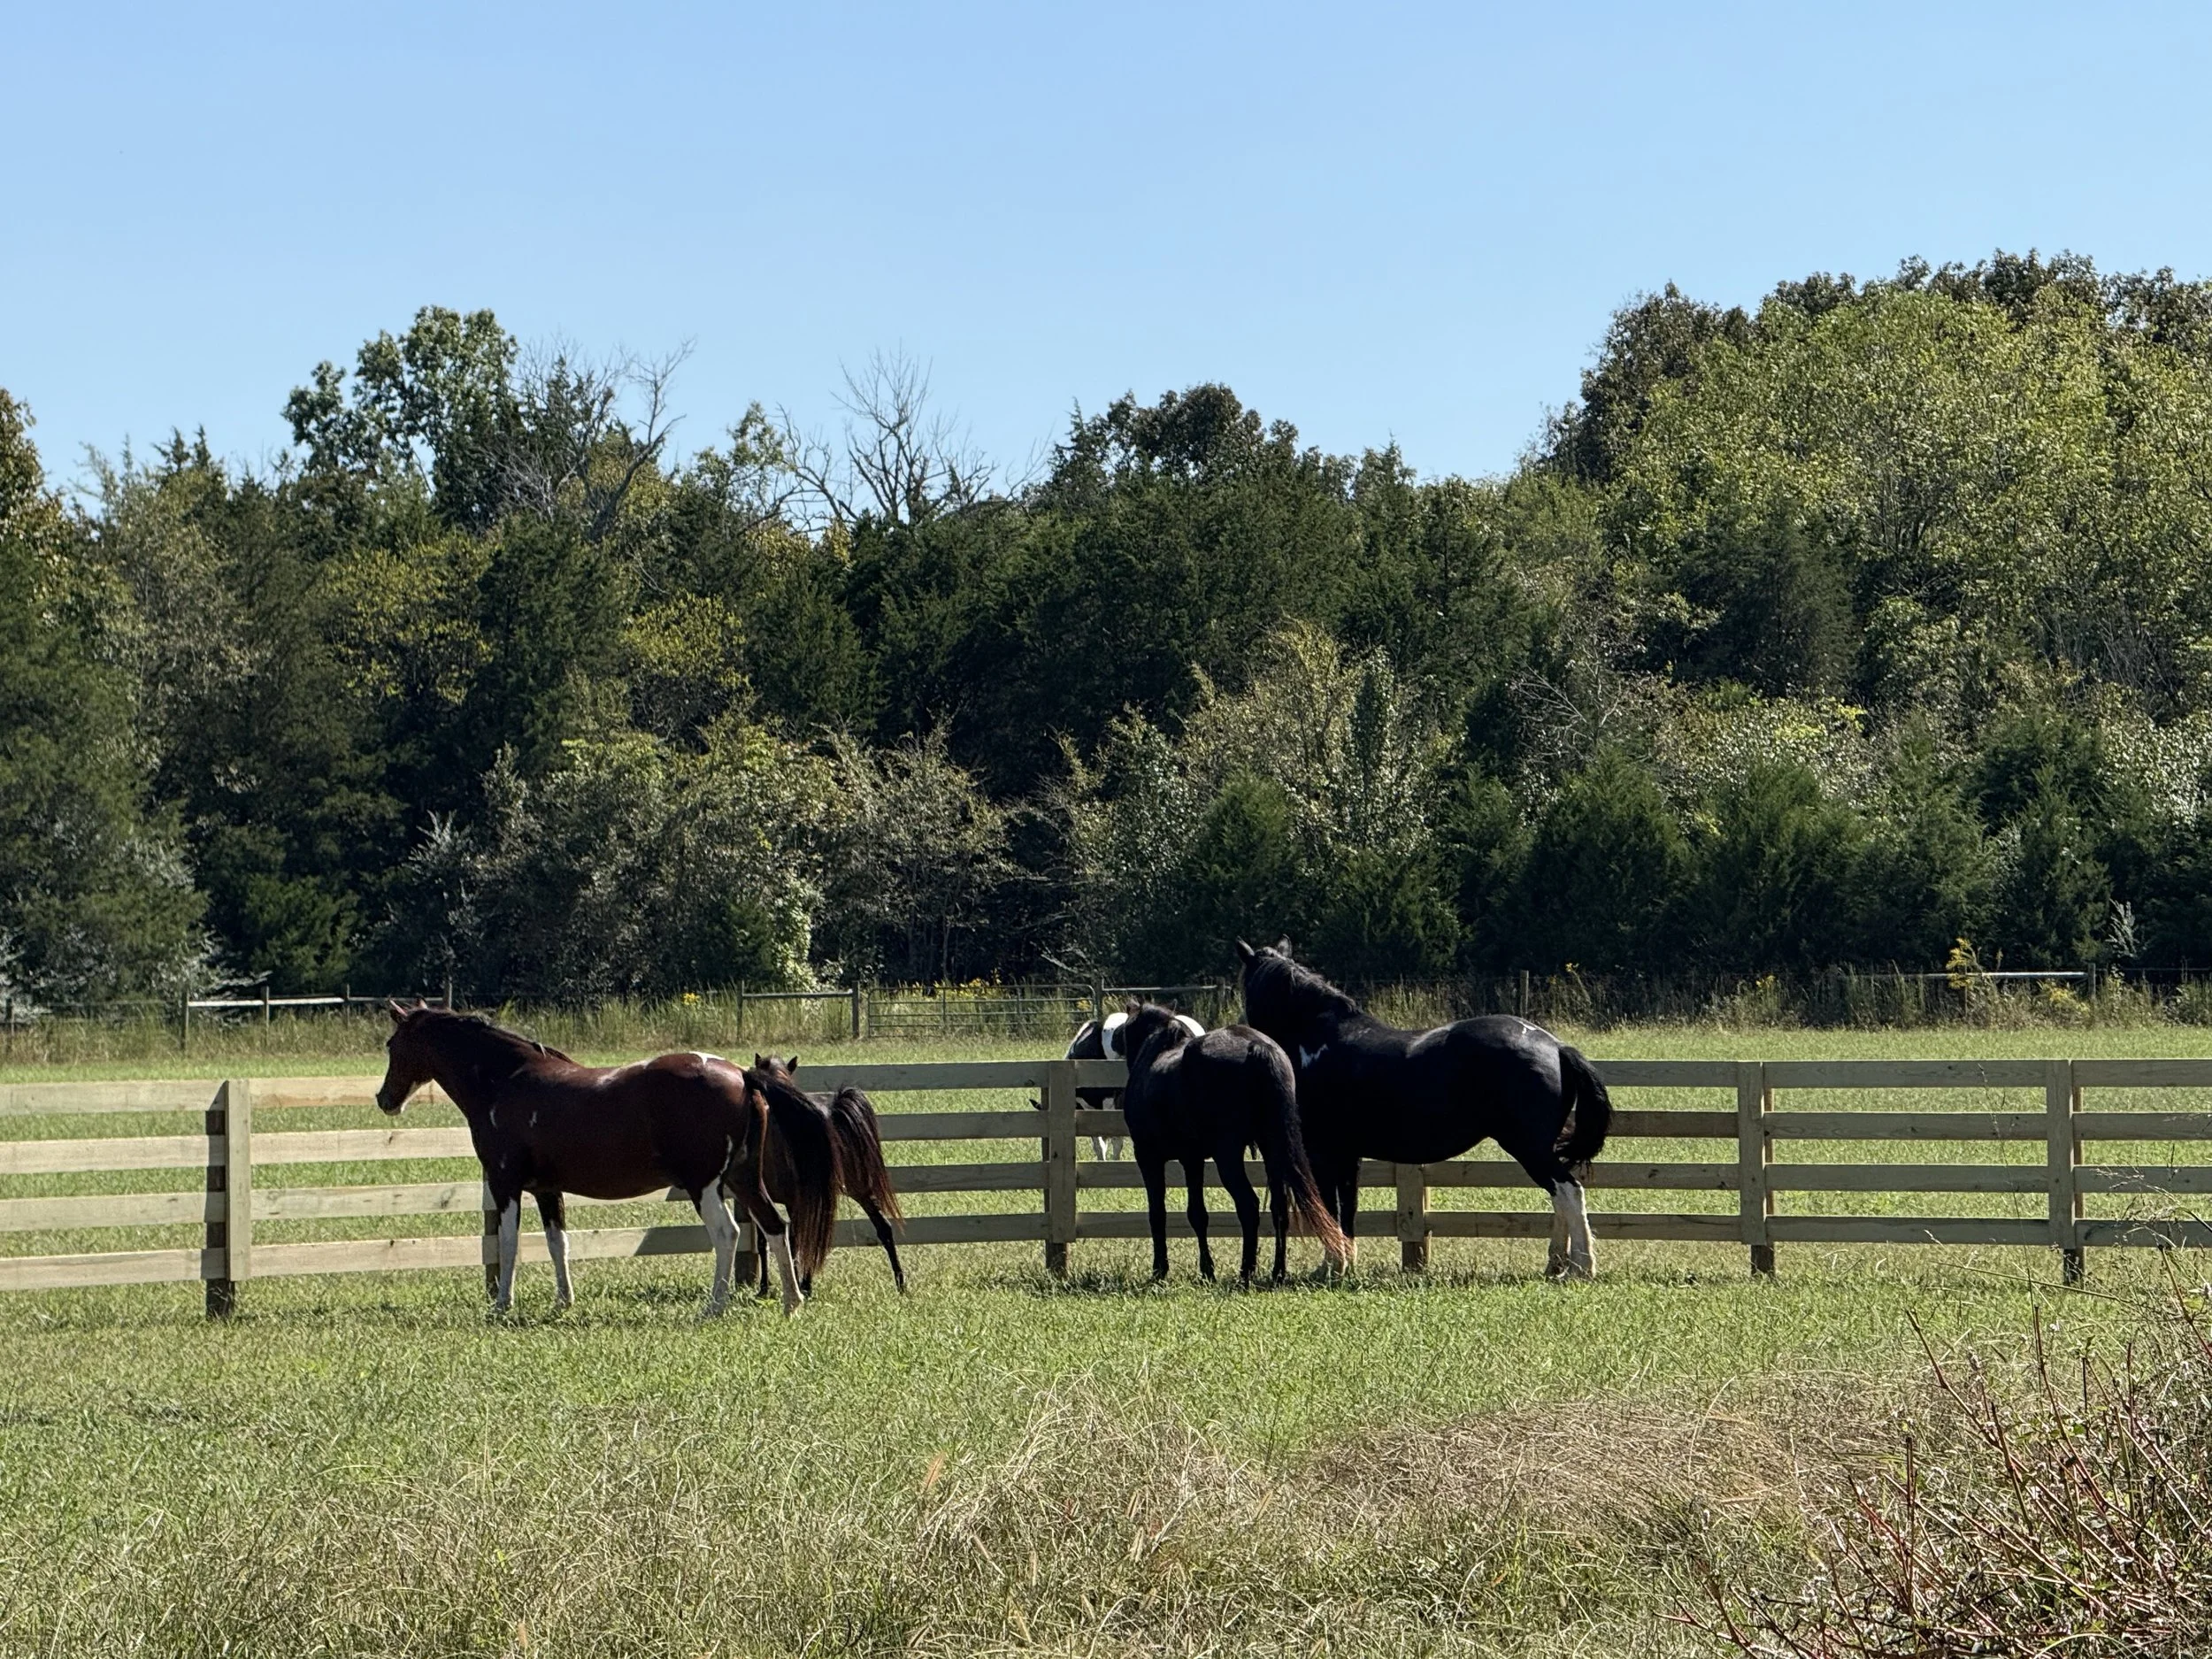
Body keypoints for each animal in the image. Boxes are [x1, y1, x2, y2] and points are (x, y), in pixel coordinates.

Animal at [373, 1002, 840, 1315]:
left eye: (392, 1044)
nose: (384, 1099)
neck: (506, 1081)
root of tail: (742, 1075)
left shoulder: (505, 1184)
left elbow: (507, 1243)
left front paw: (502, 1304)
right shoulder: (547, 1190)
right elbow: (557, 1243)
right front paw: (563, 1302)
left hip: (705, 1184)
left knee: (727, 1234)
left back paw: (715, 1305)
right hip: (744, 1179)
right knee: (775, 1227)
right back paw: (791, 1302)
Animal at [743, 1055, 906, 1298]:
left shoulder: (789, 1201)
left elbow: (787, 1241)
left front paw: (782, 1286)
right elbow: (769, 1241)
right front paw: (767, 1287)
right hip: (854, 1189)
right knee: (882, 1227)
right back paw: (900, 1284)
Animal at [1116, 1002, 1349, 1283]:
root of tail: (1258, 1047)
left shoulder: (1148, 1157)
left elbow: (1157, 1214)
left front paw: (1160, 1270)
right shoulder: (1192, 1159)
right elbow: (1197, 1214)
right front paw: (1207, 1271)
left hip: (1228, 1156)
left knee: (1248, 1205)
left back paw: (1246, 1272)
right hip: (1272, 1148)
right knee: (1279, 1209)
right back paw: (1277, 1272)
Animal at [1235, 940, 1613, 1278]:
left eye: (1246, 987)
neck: (1316, 1041)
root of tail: (1555, 1046)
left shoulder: (1324, 1154)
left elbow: (1330, 1207)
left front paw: (1332, 1266)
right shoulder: (1347, 1155)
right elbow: (1347, 1209)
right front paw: (1344, 1265)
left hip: (1529, 1148)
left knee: (1568, 1191)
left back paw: (1580, 1268)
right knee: (1561, 1195)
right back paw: (1556, 1265)